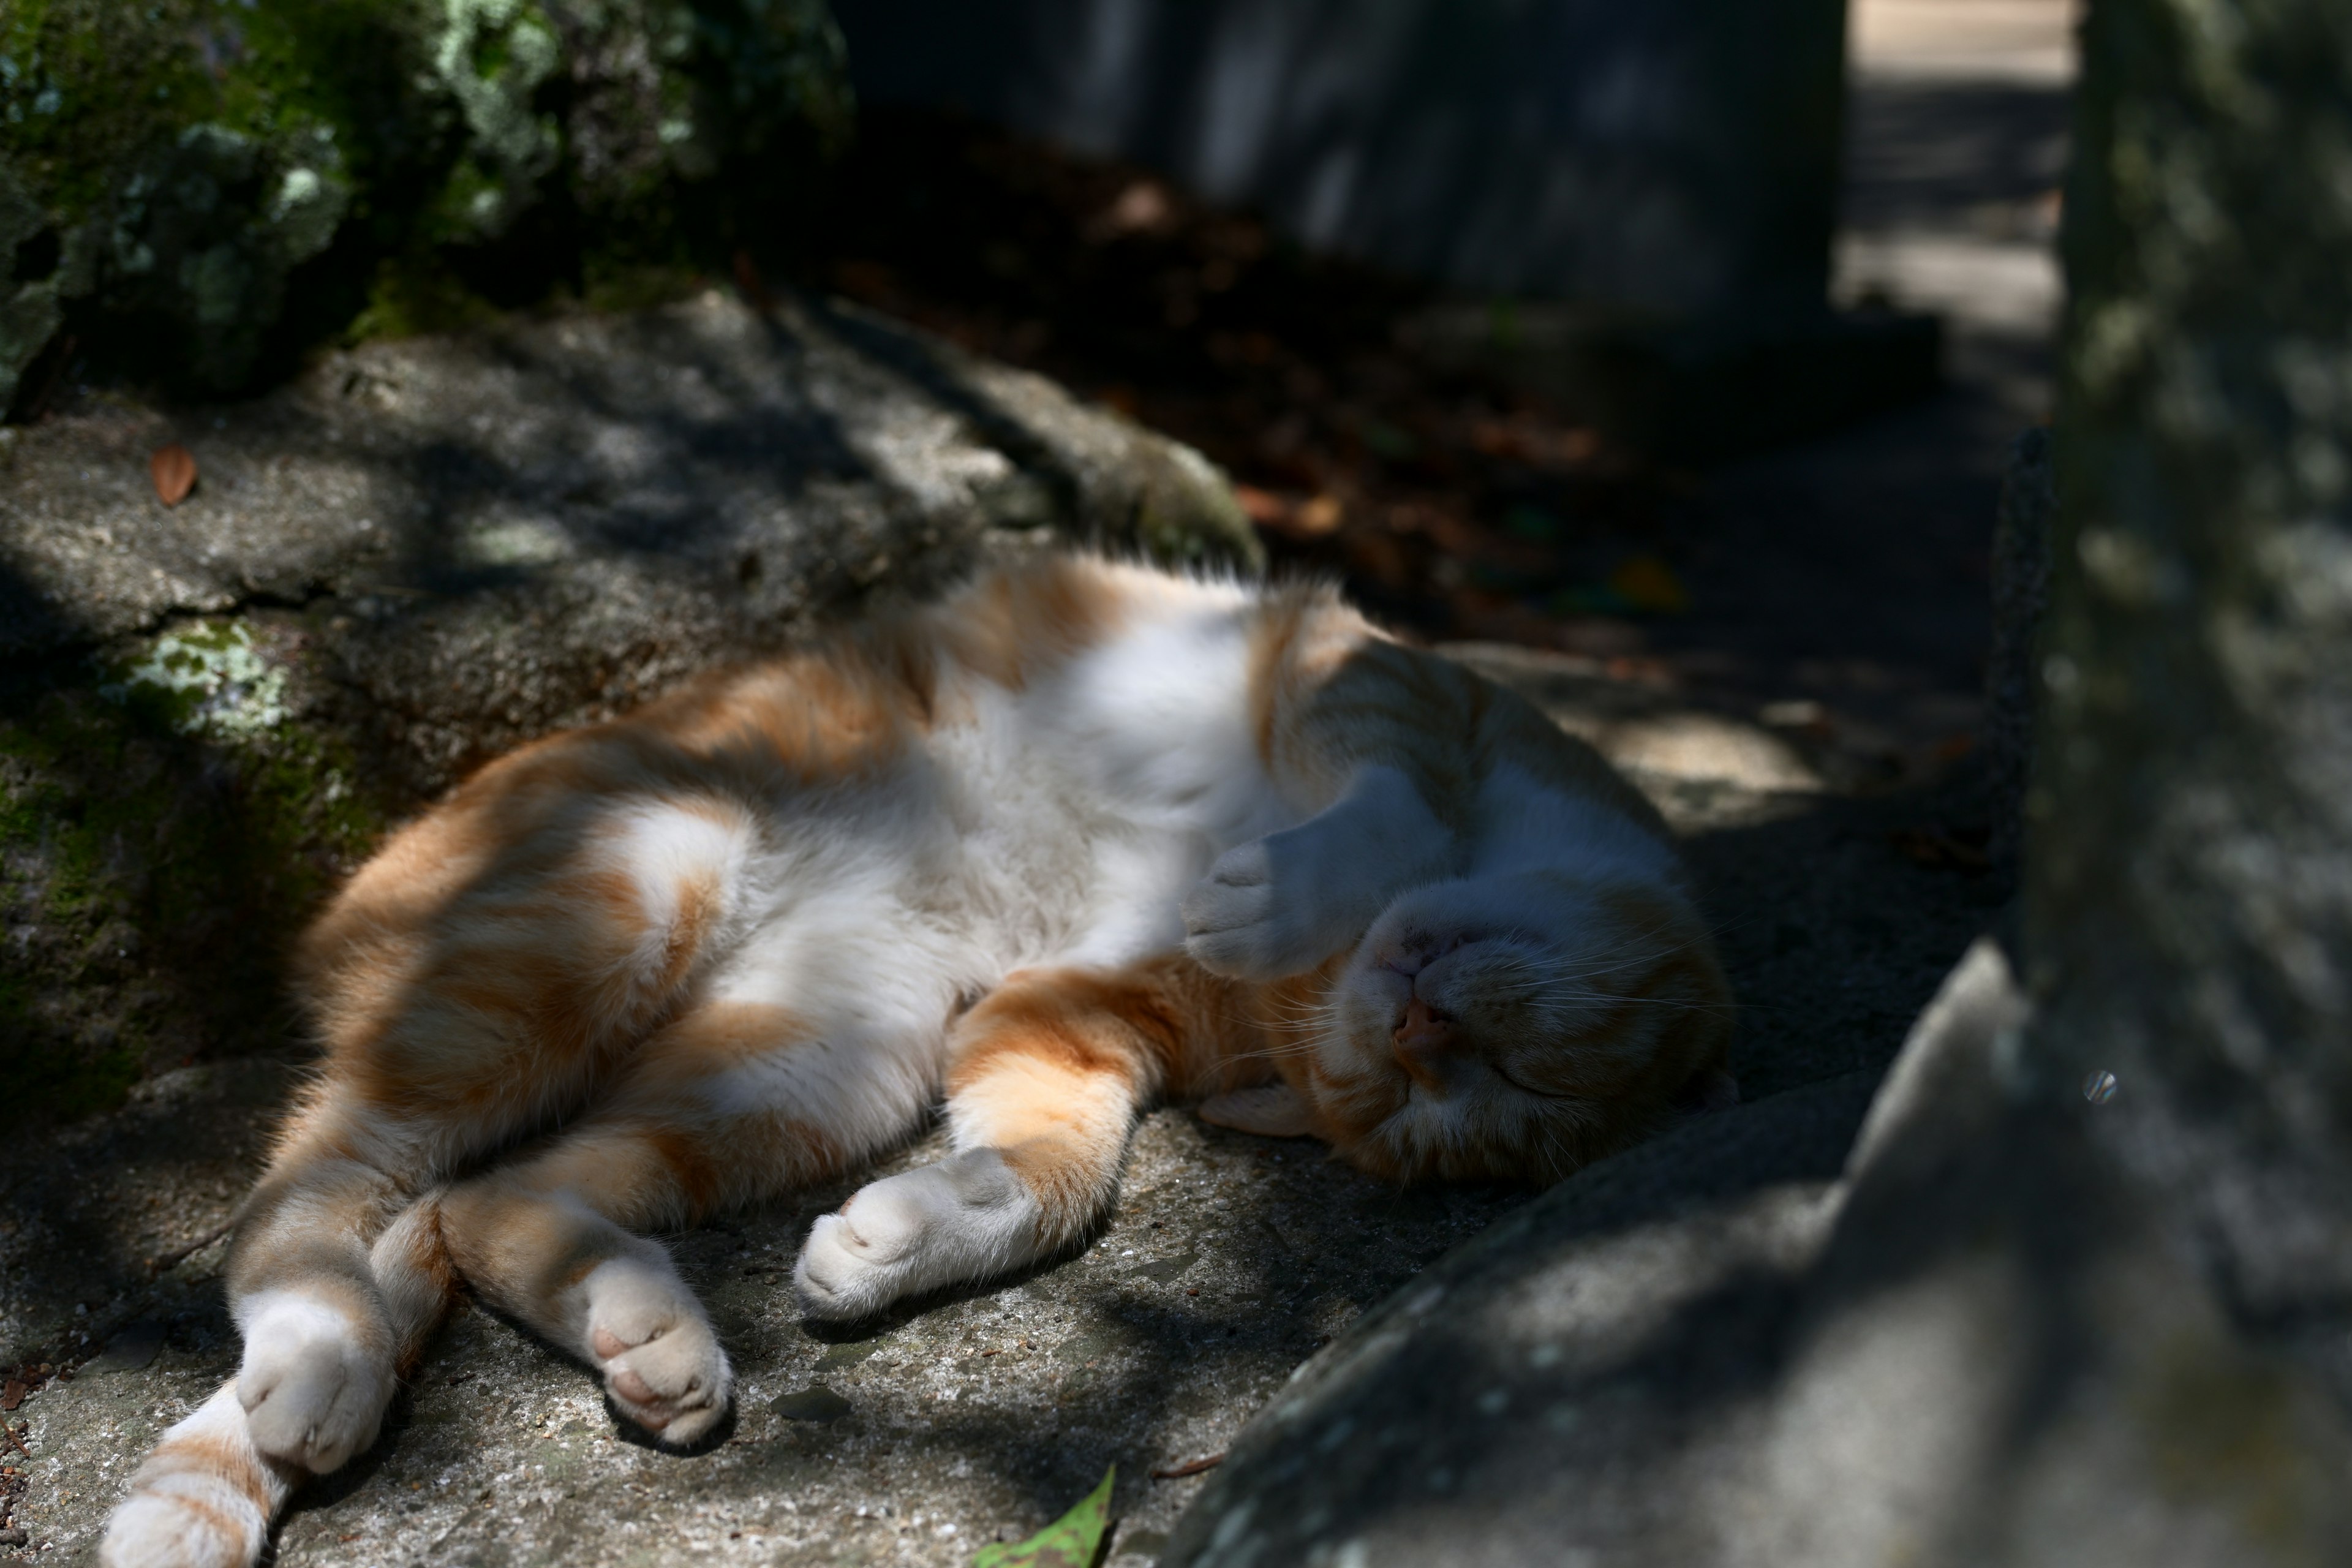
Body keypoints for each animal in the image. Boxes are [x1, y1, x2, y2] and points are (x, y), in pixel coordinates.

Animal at [101, 554, 1740, 1568]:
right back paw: (318, 1342)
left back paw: (637, 1327)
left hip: (830, 1048)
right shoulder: (1363, 670)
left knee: (479, 1199)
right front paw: (1294, 882)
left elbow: (1056, 1173)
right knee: (320, 1184)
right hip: (626, 883)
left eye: (1486, 1095)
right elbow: (1384, 803)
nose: (1414, 1030)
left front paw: (896, 1243)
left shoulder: (1051, 1013)